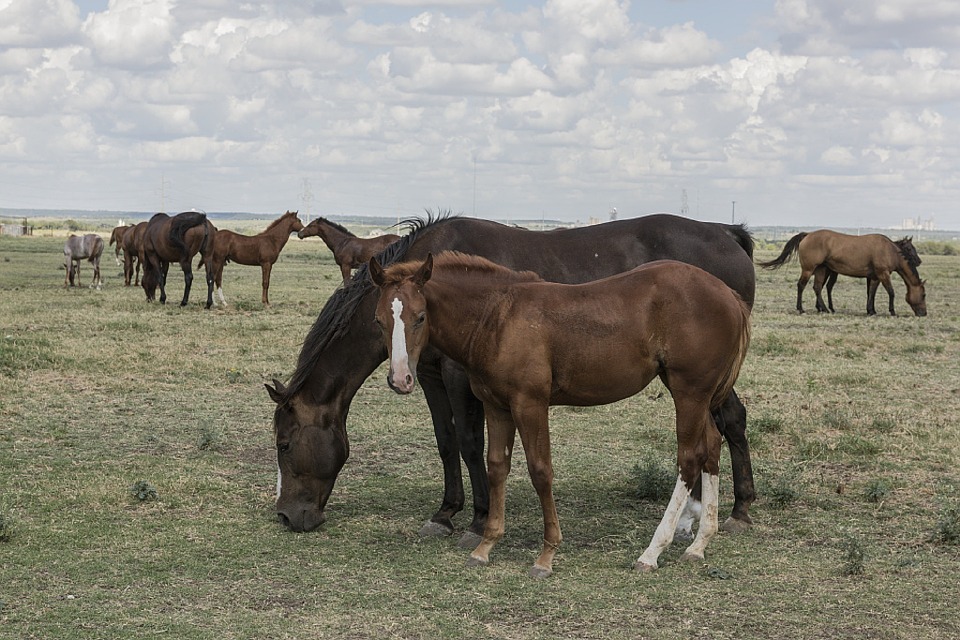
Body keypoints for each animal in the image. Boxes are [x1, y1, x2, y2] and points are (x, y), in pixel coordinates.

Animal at [265, 213, 758, 543]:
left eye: (284, 445)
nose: (286, 516)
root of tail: (725, 232)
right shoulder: (429, 374)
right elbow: (446, 441)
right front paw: (445, 512)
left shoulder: (460, 376)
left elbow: (470, 442)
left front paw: (479, 517)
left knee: (730, 422)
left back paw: (737, 510)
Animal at [370, 252, 751, 577]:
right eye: (379, 320)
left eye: (420, 317)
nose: (400, 379)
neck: (498, 317)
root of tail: (729, 294)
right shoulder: (497, 406)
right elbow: (497, 467)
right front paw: (485, 546)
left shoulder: (530, 404)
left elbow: (541, 472)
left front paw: (546, 555)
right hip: (692, 392)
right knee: (711, 445)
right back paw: (699, 544)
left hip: (690, 391)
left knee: (689, 457)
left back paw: (652, 551)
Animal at [758, 230, 926, 316]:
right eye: (924, 295)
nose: (924, 313)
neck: (890, 250)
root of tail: (808, 234)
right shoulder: (883, 274)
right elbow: (891, 292)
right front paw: (892, 311)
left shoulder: (874, 277)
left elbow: (871, 293)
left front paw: (871, 310)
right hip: (808, 269)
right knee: (801, 286)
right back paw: (801, 309)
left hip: (821, 270)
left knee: (817, 287)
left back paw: (825, 309)